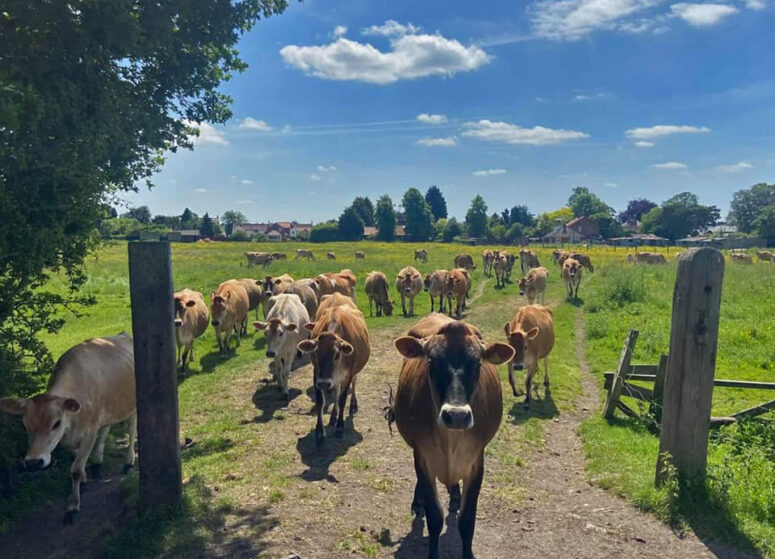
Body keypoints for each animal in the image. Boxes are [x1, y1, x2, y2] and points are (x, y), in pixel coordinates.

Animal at [0, 333, 136, 524]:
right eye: (25, 424)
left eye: (56, 423)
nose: (34, 462)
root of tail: (123, 334)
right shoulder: (67, 438)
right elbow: (76, 460)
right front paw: (85, 479)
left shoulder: (89, 432)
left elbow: (76, 470)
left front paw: (72, 507)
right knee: (105, 432)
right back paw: (97, 463)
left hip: (132, 406)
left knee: (131, 432)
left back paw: (128, 462)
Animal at [298, 305, 370, 443]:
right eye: (316, 352)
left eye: (336, 354)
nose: (324, 383)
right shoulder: (317, 373)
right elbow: (320, 401)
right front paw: (320, 431)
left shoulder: (348, 374)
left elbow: (342, 399)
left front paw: (340, 427)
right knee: (336, 390)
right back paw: (333, 416)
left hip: (353, 372)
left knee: (353, 383)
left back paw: (352, 405)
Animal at [392, 314, 513, 559]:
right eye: (431, 362)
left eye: (478, 364)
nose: (456, 416)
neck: (450, 440)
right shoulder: (423, 458)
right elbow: (434, 517)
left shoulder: (476, 463)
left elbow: (467, 521)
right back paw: (418, 502)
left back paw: (455, 497)